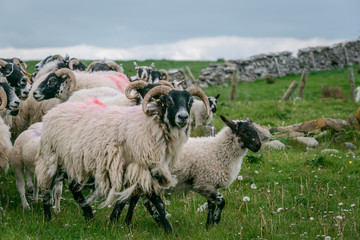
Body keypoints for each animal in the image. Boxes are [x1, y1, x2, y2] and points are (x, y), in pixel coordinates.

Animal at [35, 84, 210, 232]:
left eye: (190, 101)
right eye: (168, 101)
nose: (183, 117)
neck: (151, 125)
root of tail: (52, 111)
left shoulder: (141, 169)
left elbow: (128, 199)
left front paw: (117, 221)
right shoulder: (140, 167)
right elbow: (155, 200)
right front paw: (167, 228)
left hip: (76, 162)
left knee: (73, 187)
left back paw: (88, 215)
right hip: (51, 157)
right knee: (46, 189)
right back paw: (47, 219)